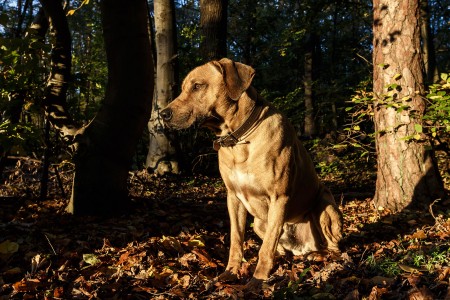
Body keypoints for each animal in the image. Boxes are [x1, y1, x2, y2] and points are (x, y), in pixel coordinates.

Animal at [163, 58, 342, 288]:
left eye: (197, 86)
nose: (163, 114)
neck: (238, 139)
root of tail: (304, 248)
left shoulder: (279, 197)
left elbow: (265, 249)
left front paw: (257, 280)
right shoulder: (233, 198)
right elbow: (236, 239)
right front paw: (230, 272)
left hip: (325, 205)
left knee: (332, 244)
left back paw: (325, 257)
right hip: (258, 223)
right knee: (280, 246)